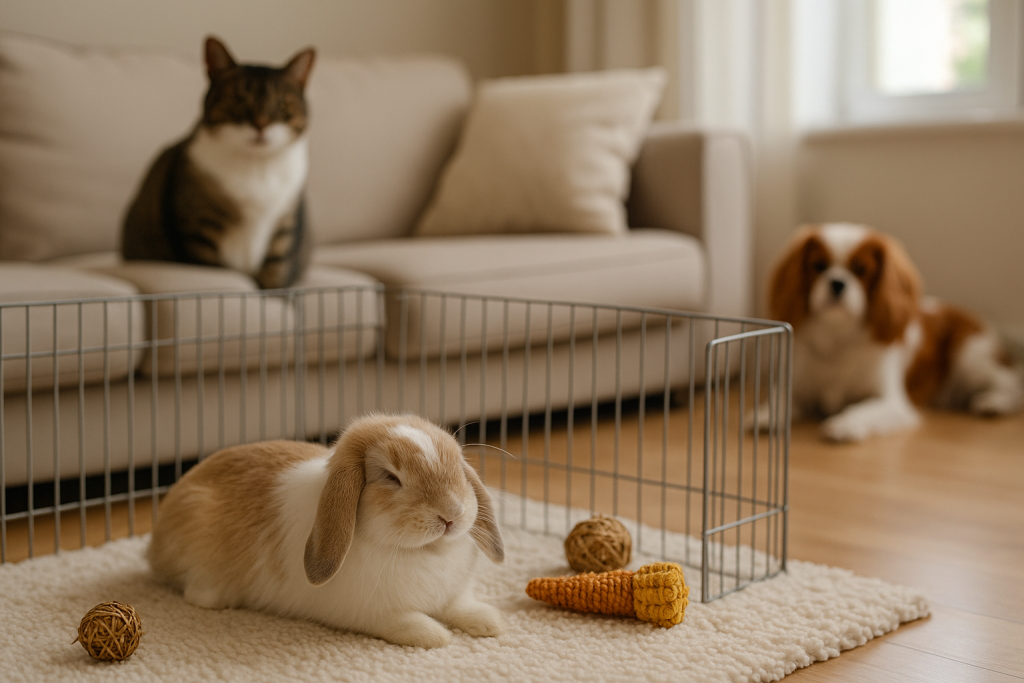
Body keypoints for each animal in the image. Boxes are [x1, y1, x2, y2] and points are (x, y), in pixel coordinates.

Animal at [148, 413, 506, 649]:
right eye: (391, 477)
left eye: (457, 464)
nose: (452, 515)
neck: (424, 551)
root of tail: (154, 545)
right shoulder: (374, 614)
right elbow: (407, 623)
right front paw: (435, 636)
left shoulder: (453, 594)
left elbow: (460, 606)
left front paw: (489, 622)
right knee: (195, 592)